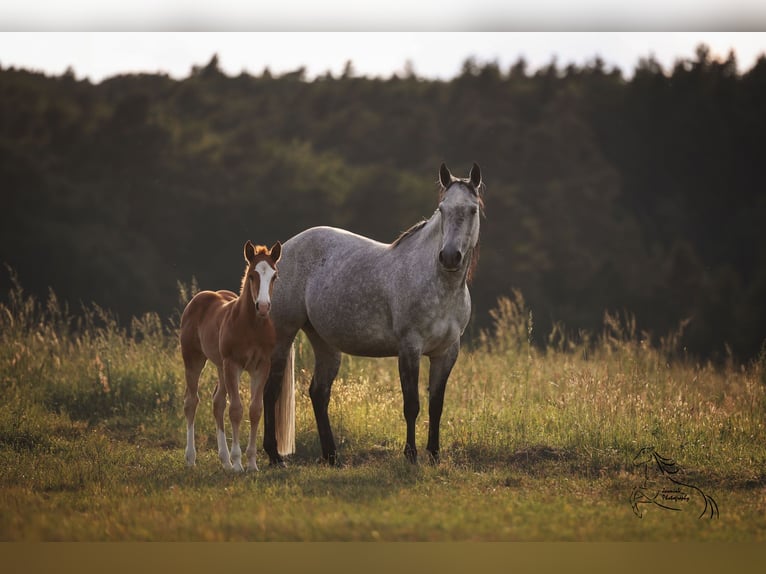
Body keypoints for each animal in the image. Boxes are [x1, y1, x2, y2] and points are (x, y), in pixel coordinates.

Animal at [179, 240, 295, 471]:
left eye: (274, 276)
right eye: (252, 275)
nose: (263, 306)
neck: (251, 326)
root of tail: (199, 298)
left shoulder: (261, 366)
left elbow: (255, 410)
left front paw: (251, 463)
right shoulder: (233, 364)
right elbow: (236, 410)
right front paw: (239, 463)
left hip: (220, 366)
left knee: (217, 402)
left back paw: (224, 460)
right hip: (193, 359)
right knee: (191, 401)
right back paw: (191, 458)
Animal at [260, 162, 484, 466]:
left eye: (472, 210)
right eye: (442, 209)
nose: (450, 257)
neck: (440, 285)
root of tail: (282, 252)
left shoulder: (447, 351)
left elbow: (436, 405)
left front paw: (435, 455)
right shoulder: (409, 348)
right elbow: (412, 405)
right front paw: (411, 456)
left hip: (325, 343)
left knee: (318, 393)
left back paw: (331, 457)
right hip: (283, 336)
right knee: (270, 392)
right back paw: (275, 456)